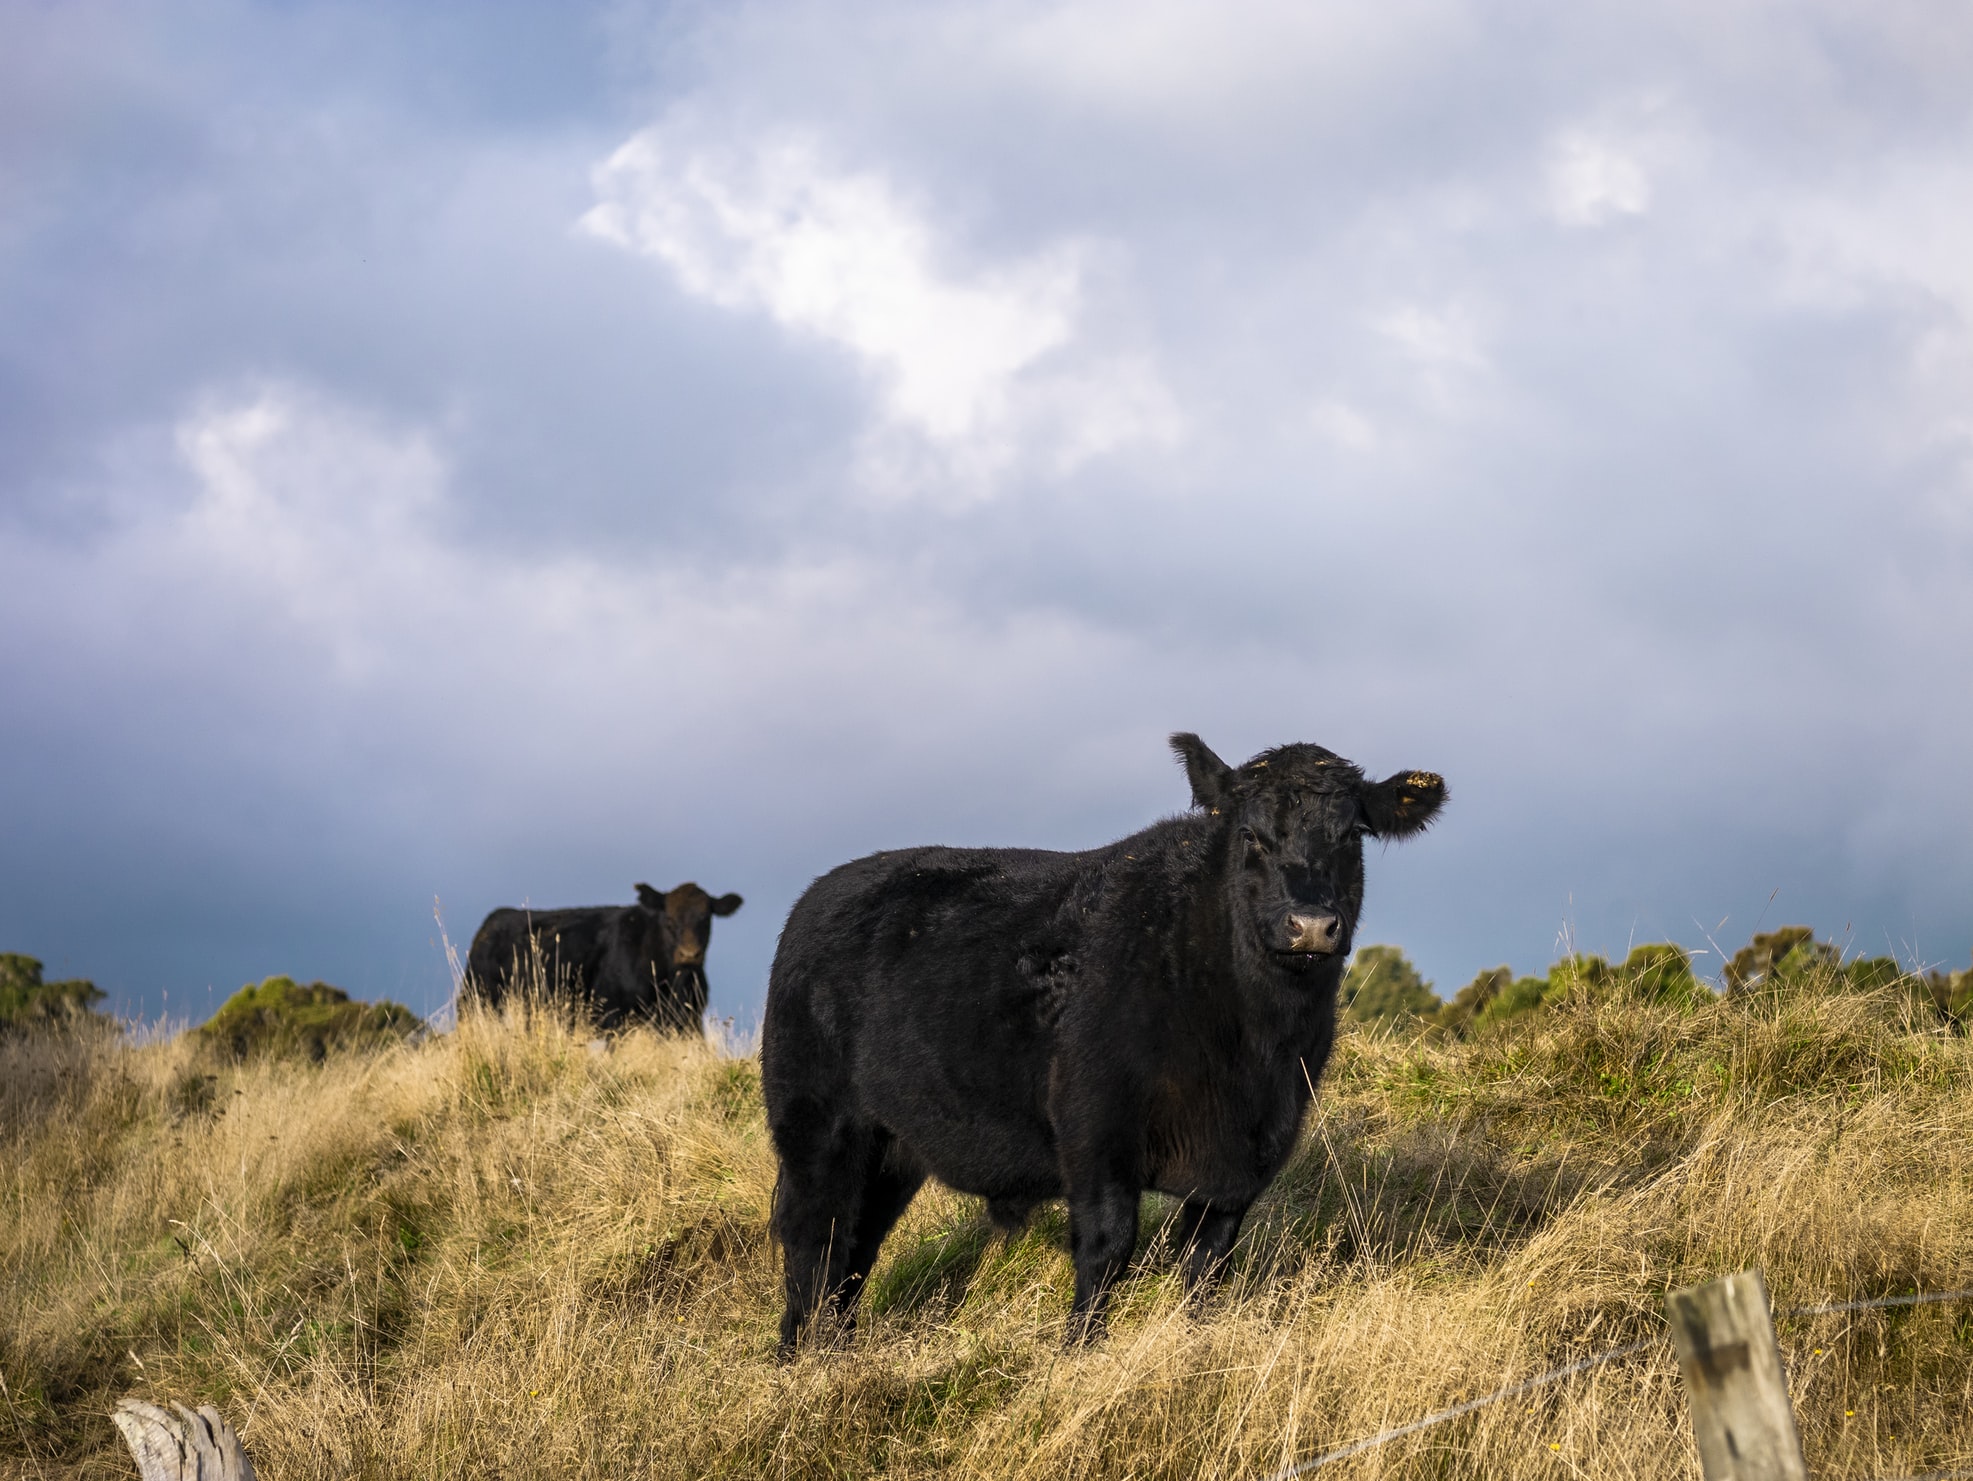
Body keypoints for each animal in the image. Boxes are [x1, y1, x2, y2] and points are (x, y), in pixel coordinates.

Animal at [465, 879, 741, 1033]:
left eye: (705, 918)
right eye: (669, 920)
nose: (689, 954)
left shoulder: (688, 1020)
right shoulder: (613, 1016)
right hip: (477, 1000)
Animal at [761, 733, 1444, 1356]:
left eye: (1351, 834)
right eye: (1251, 835)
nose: (1310, 926)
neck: (1252, 1050)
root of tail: (824, 891)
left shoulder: (1251, 1154)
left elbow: (1208, 1267)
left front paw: (1196, 1346)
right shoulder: (1095, 1125)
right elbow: (1108, 1247)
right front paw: (1079, 1352)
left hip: (894, 1148)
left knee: (857, 1246)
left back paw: (834, 1352)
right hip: (818, 1125)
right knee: (815, 1236)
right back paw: (803, 1359)